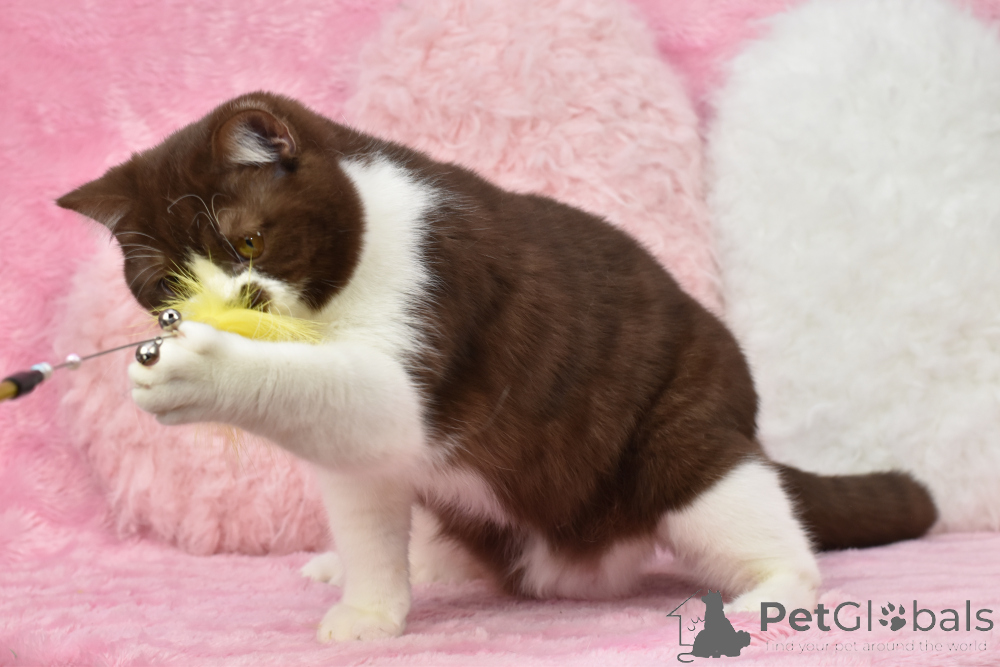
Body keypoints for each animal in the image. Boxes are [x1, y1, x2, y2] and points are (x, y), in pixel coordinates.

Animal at [57, 91, 937, 642]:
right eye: (165, 285)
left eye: (247, 241)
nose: (218, 307)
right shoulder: (362, 461)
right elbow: (364, 495)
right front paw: (369, 609)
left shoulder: (437, 292)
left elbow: (362, 394)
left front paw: (204, 370)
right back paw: (408, 562)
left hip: (682, 441)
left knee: (750, 518)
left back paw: (770, 594)